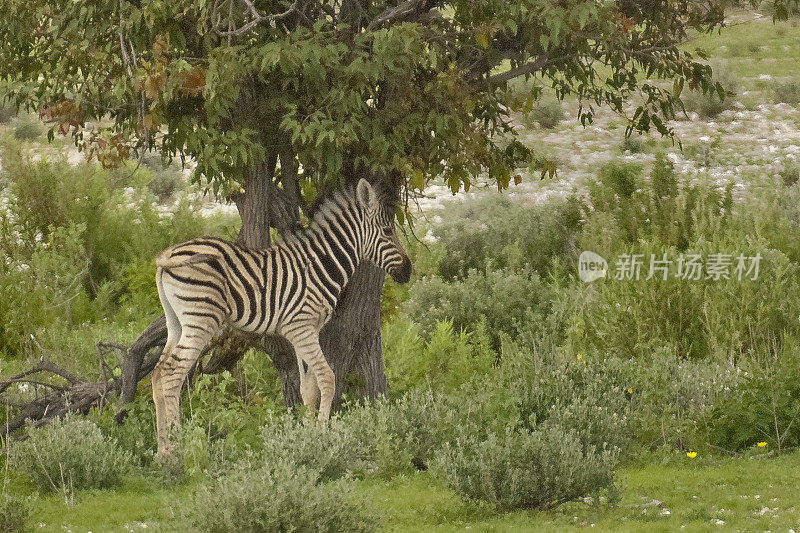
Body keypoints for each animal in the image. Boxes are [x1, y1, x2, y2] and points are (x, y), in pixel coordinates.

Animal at [152, 178, 410, 458]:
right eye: (388, 231)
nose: (408, 271)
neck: (321, 265)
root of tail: (167, 255)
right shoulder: (303, 326)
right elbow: (327, 378)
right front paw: (323, 436)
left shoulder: (304, 331)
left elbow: (308, 388)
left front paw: (307, 437)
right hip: (201, 319)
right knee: (173, 373)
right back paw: (179, 448)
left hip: (176, 321)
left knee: (158, 372)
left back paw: (162, 450)